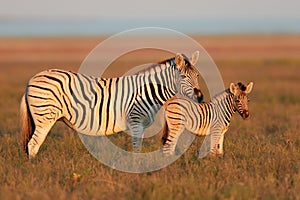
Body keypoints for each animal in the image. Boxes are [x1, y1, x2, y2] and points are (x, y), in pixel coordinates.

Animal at [20, 50, 204, 159]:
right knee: (33, 144)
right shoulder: (135, 121)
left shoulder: (141, 125)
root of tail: (32, 78)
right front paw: (137, 170)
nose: (200, 97)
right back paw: (34, 168)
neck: (147, 91)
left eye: (197, 76)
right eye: (184, 77)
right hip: (45, 116)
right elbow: (136, 149)